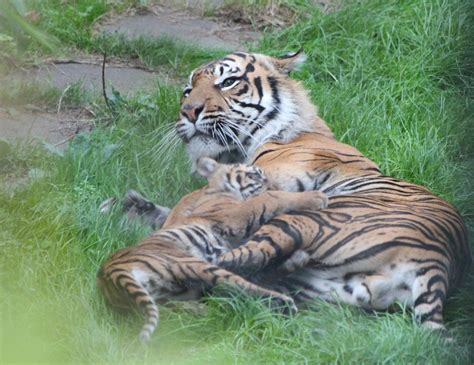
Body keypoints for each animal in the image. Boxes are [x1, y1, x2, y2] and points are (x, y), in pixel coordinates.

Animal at [168, 49, 468, 328]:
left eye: (228, 81)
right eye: (187, 91)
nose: (189, 111)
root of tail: (436, 267)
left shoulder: (272, 175)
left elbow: (197, 196)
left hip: (308, 219)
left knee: (234, 260)